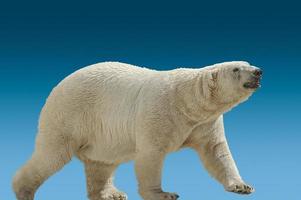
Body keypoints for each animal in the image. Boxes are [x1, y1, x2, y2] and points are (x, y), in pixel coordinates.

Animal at [12, 61, 262, 200]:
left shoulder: (204, 123)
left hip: (102, 136)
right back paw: (23, 191)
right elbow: (150, 154)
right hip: (69, 114)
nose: (258, 71)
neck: (187, 101)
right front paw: (164, 194)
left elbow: (216, 153)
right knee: (52, 154)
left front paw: (242, 186)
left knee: (101, 162)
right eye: (236, 69)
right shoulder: (160, 111)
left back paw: (111, 194)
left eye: (247, 62)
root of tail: (58, 85)